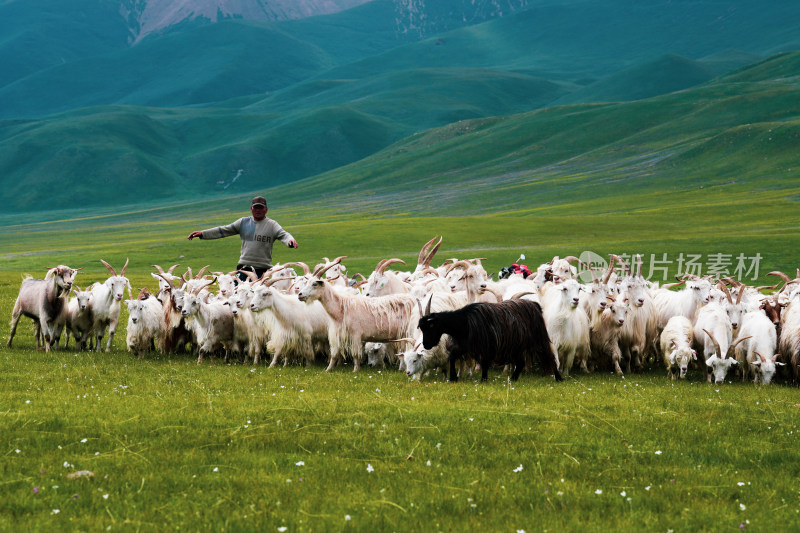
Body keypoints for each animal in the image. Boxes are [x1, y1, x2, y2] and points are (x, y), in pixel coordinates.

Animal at [418, 298, 564, 380]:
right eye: (421, 328)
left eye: (430, 327)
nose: (426, 345)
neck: (464, 322)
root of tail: (534, 305)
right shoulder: (465, 345)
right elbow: (452, 357)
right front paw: (453, 378)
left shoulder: (486, 346)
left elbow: (484, 363)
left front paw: (483, 380)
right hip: (516, 346)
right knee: (521, 363)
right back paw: (513, 379)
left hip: (539, 339)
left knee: (549, 356)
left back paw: (559, 378)